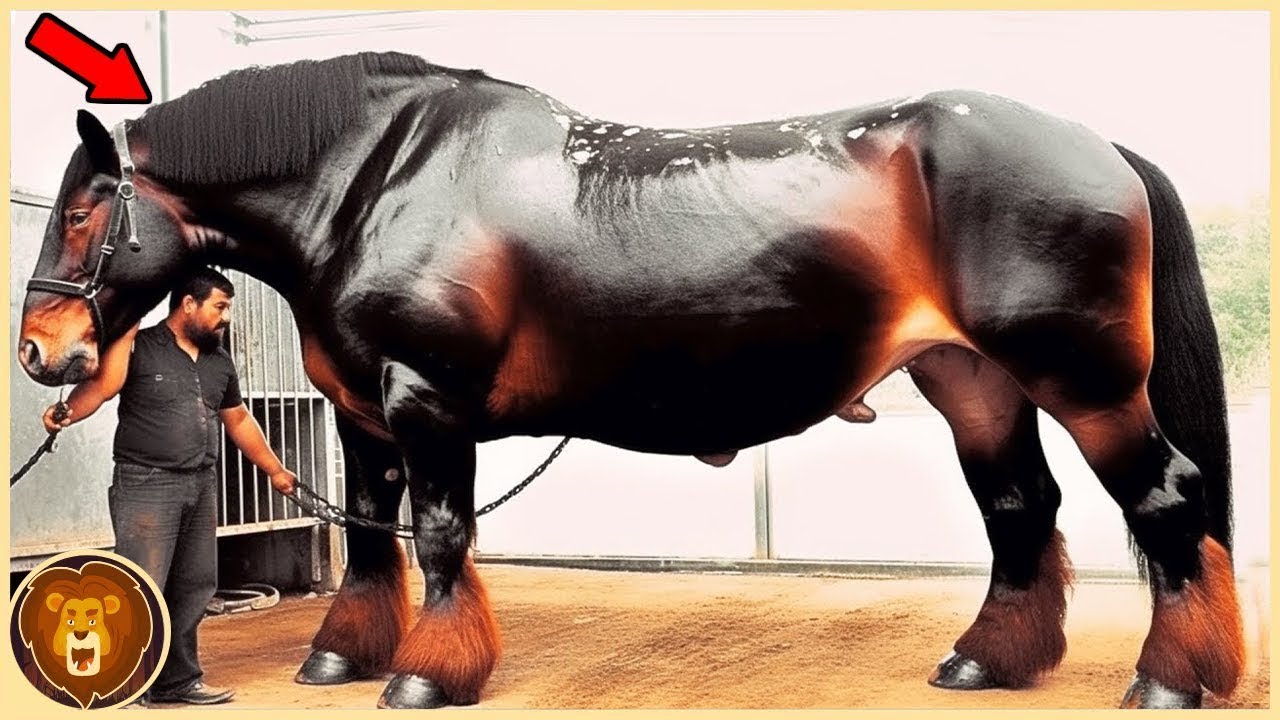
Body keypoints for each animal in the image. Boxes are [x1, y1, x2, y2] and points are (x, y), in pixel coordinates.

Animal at [19, 51, 1243, 709]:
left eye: (81, 211)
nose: (41, 350)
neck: (376, 181)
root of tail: (1099, 147)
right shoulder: (363, 416)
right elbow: (369, 538)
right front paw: (337, 655)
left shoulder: (426, 402)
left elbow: (440, 537)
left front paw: (427, 675)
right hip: (973, 381)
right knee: (1018, 509)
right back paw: (987, 662)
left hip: (1083, 382)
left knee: (1164, 500)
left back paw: (1169, 678)